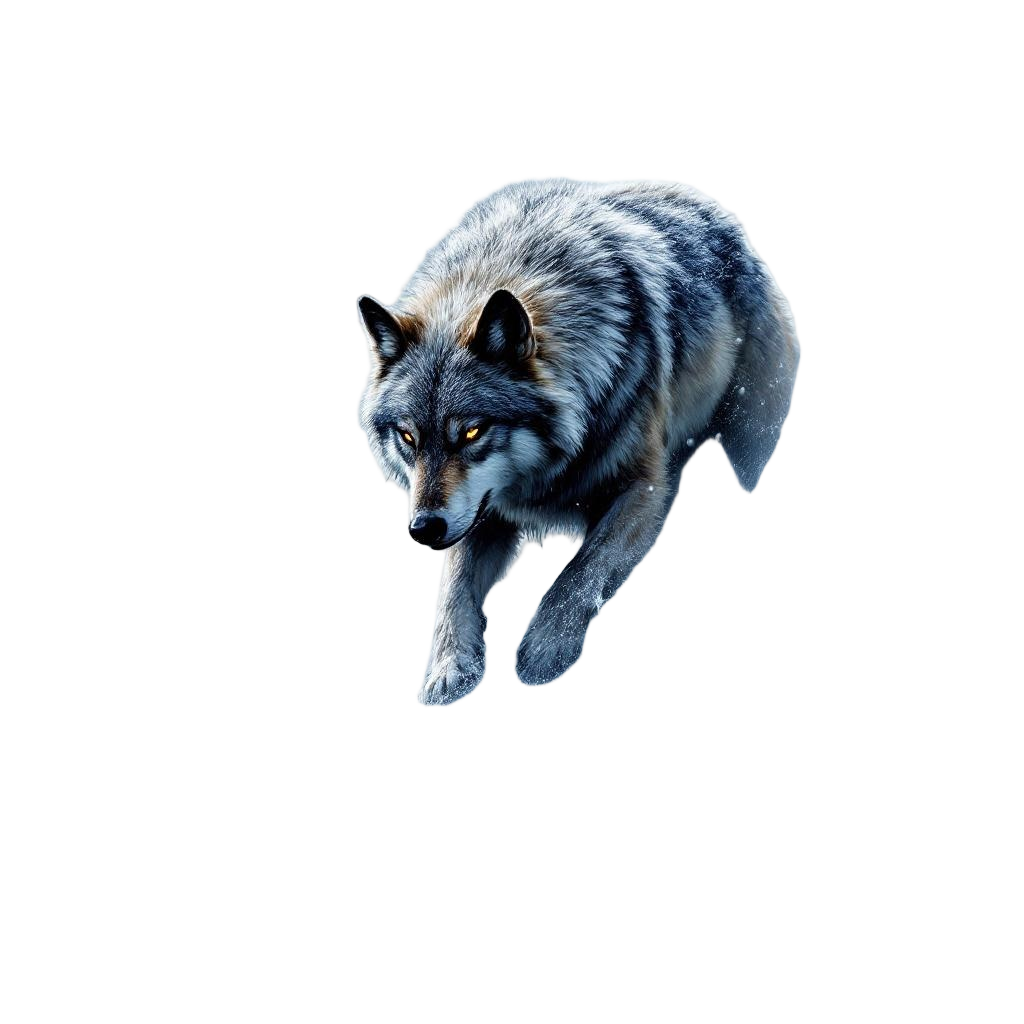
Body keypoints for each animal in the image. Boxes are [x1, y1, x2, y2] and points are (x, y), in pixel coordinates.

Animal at [353, 174, 802, 710]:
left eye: (472, 431)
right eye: (408, 437)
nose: (422, 529)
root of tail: (721, 214)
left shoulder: (646, 490)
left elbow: (579, 571)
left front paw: (543, 651)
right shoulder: (482, 512)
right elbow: (454, 589)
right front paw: (446, 673)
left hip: (749, 447)